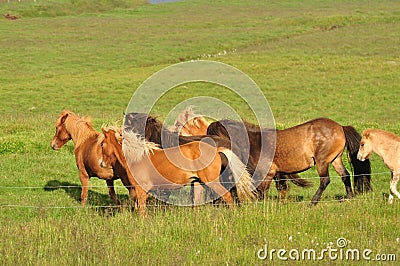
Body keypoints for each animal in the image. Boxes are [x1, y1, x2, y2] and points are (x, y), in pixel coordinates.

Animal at [99, 127, 256, 216]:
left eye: (102, 144)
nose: (101, 163)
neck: (138, 158)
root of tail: (217, 150)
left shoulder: (141, 190)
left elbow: (141, 210)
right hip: (197, 183)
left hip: (212, 182)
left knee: (228, 197)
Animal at [208, 117, 374, 205]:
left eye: (213, 135)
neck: (256, 142)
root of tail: (340, 127)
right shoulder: (278, 174)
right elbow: (280, 189)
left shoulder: (268, 173)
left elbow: (261, 192)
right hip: (335, 159)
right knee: (345, 175)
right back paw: (349, 197)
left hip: (322, 161)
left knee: (325, 180)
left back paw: (313, 202)